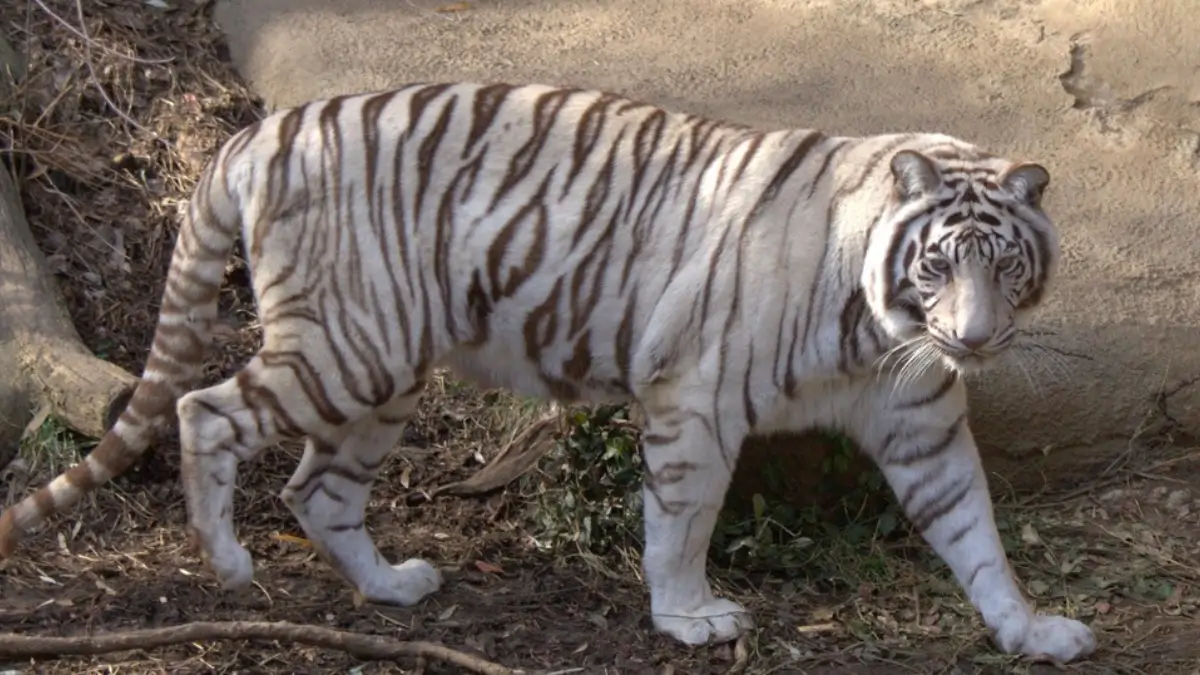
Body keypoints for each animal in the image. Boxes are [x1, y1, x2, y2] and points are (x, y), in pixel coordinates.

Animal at [0, 81, 1095, 661]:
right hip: (346, 349)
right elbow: (681, 521)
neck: (882, 327)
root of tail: (260, 128)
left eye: (1005, 266)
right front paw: (689, 617)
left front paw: (1030, 629)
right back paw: (227, 562)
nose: (976, 340)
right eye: (938, 264)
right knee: (203, 410)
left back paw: (392, 586)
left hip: (387, 370)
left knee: (318, 489)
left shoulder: (921, 419)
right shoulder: (694, 400)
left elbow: (973, 528)